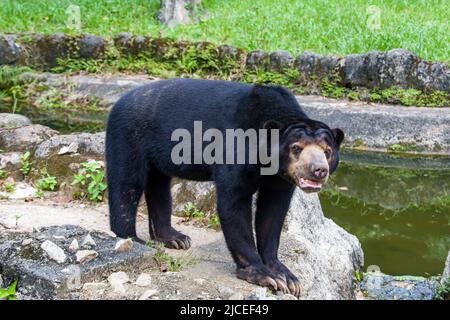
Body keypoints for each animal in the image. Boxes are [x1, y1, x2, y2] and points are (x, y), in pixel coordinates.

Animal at [106, 78, 344, 298]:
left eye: (327, 151)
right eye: (296, 148)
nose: (318, 170)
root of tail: (120, 99)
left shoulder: (280, 178)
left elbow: (273, 212)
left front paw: (287, 277)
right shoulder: (236, 147)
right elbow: (234, 203)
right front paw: (264, 275)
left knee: (159, 187)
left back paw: (175, 238)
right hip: (128, 134)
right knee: (126, 183)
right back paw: (132, 239)